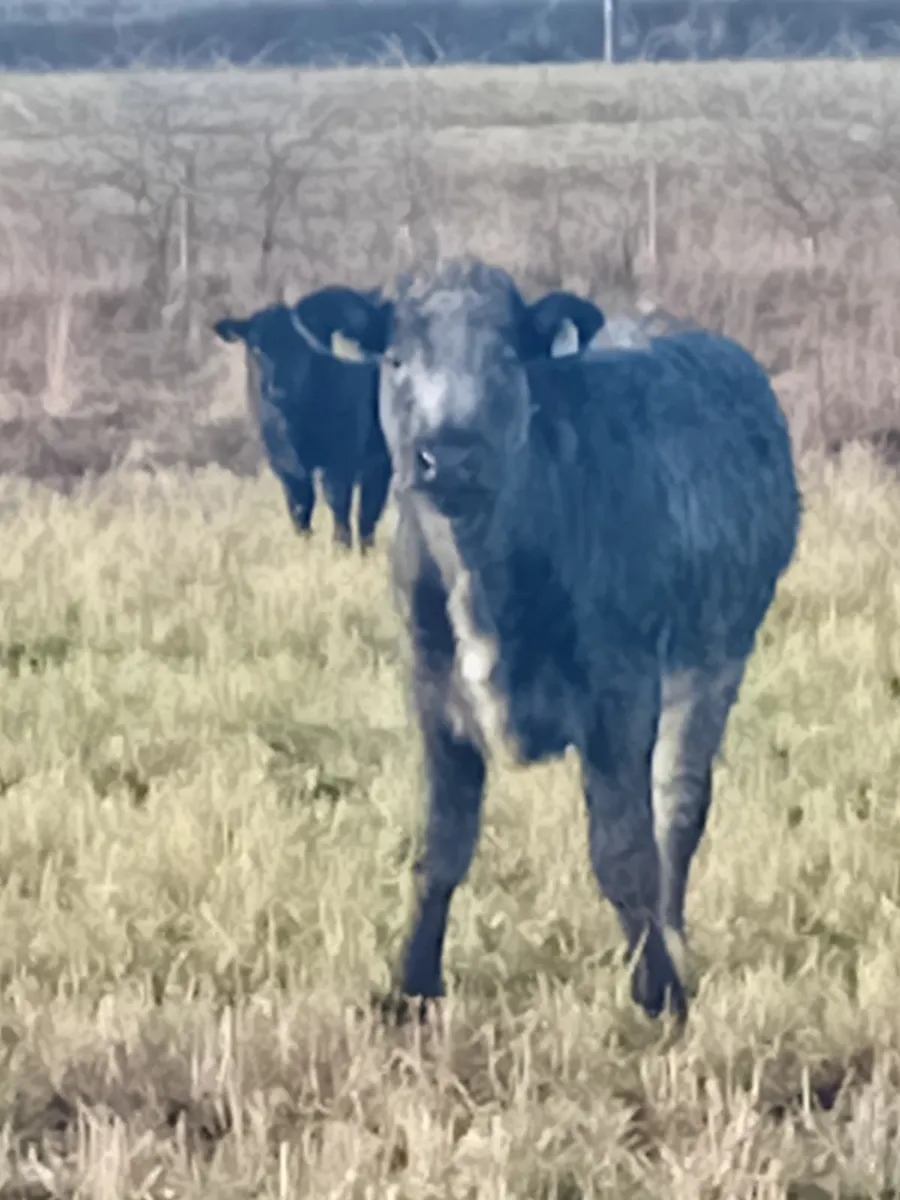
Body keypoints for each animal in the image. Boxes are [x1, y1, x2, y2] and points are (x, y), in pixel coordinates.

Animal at [213, 285, 395, 552]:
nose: (278, 391)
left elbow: (338, 504)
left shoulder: (340, 463)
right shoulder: (286, 469)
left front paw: (340, 548)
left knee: (368, 512)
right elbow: (300, 509)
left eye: (301, 348)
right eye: (256, 348)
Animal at [373, 258, 801, 1024]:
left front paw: (659, 992)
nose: (446, 457)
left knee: (677, 806)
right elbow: (443, 844)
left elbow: (623, 852)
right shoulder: (430, 686)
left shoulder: (620, 693)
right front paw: (413, 985)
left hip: (716, 657)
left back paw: (673, 936)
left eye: (507, 356)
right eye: (396, 358)